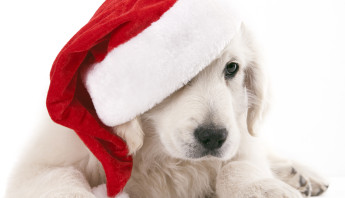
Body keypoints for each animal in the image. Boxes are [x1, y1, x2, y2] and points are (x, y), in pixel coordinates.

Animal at [5, 25, 328, 197]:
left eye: (232, 68)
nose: (214, 137)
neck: (160, 156)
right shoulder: (40, 163)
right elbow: (60, 179)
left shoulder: (239, 136)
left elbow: (238, 165)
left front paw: (263, 188)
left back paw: (300, 174)